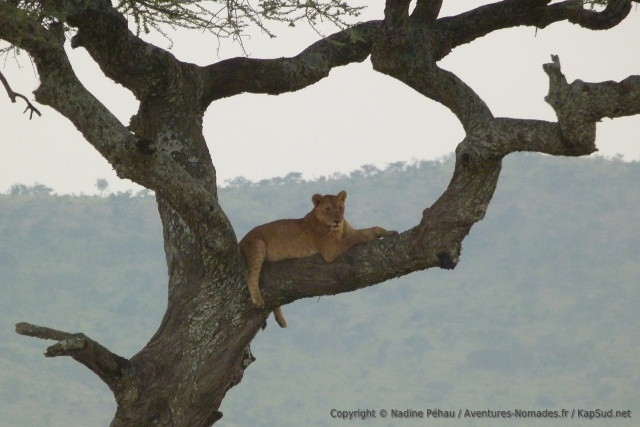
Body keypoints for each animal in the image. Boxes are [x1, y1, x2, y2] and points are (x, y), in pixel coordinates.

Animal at [239, 190, 397, 328]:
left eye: (340, 208)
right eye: (328, 209)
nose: (337, 220)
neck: (338, 228)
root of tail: (241, 241)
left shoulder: (348, 232)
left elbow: (372, 228)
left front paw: (388, 232)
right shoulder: (330, 250)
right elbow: (357, 237)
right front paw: (370, 237)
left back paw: (280, 320)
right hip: (258, 245)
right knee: (250, 277)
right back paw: (258, 301)